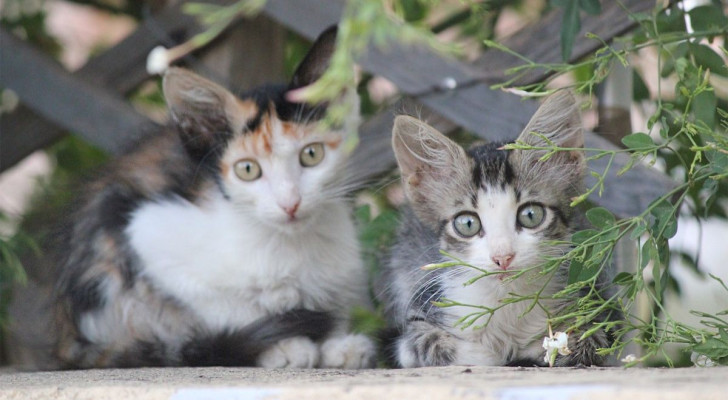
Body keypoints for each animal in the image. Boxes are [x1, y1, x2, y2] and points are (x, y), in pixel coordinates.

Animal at [49, 25, 376, 368]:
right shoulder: (147, 232)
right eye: (248, 170)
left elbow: (332, 306)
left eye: (311, 155)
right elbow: (224, 303)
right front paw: (285, 347)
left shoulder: (341, 275)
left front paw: (336, 346)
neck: (289, 243)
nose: (290, 203)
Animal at [378, 92, 616, 368]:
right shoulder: (417, 320)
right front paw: (486, 355)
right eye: (467, 224)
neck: (506, 304)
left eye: (531, 215)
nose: (503, 257)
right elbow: (430, 343)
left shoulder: (601, 310)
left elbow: (587, 342)